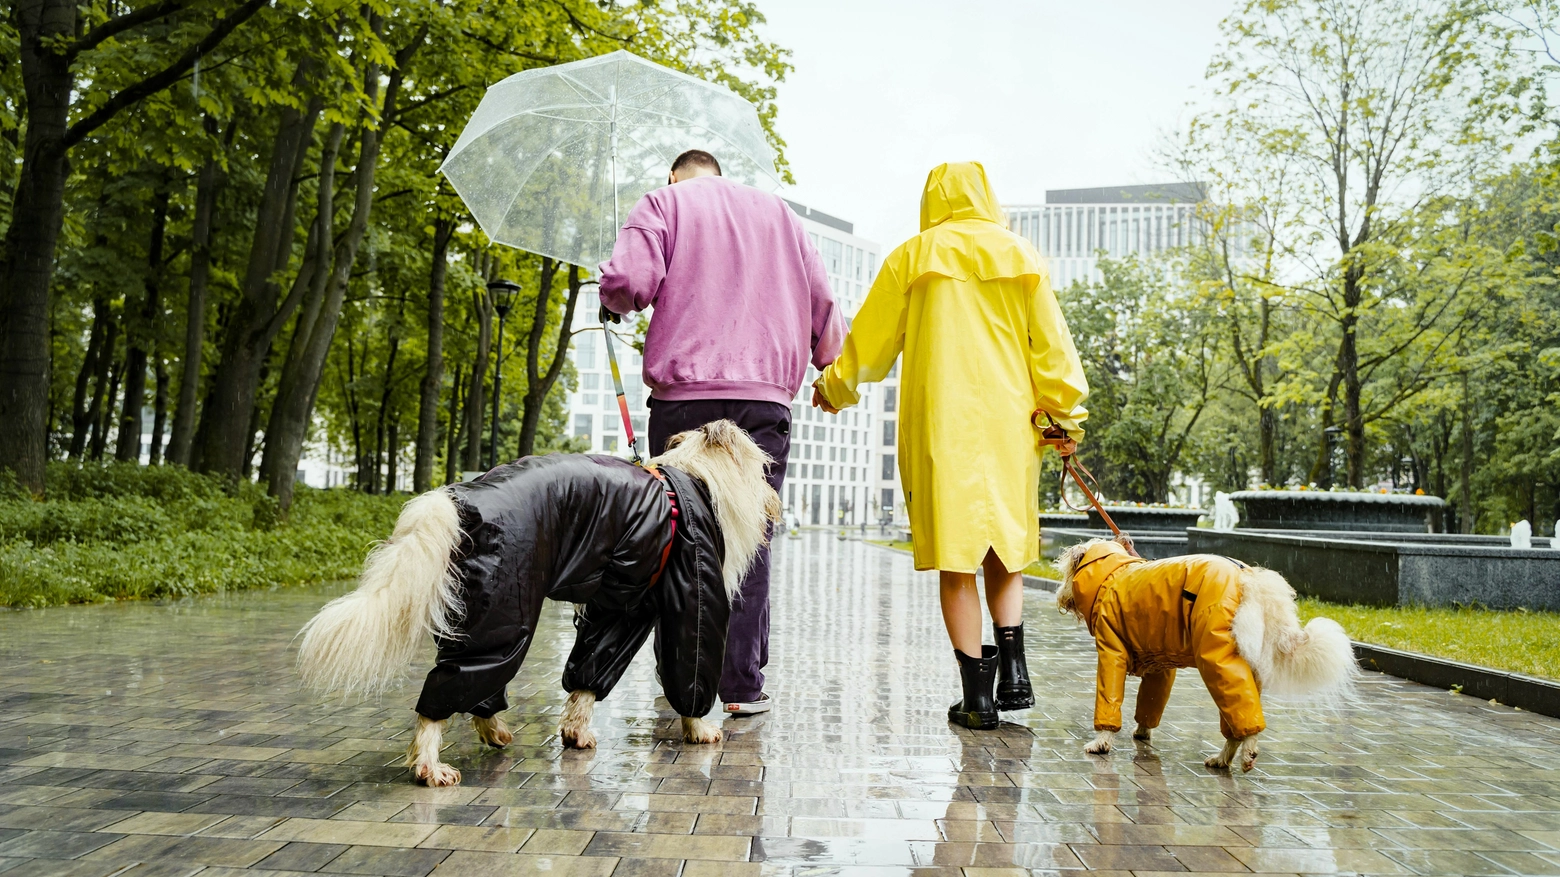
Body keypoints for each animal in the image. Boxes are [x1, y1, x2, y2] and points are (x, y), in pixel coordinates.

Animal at [293, 421, 780, 780]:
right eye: (763, 468)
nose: (777, 500)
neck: (695, 481)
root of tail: (458, 498)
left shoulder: (622, 608)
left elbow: (589, 672)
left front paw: (576, 731)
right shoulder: (693, 595)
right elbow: (690, 669)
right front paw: (698, 728)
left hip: (480, 610)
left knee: (474, 680)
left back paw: (494, 731)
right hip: (509, 606)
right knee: (447, 691)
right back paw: (430, 765)